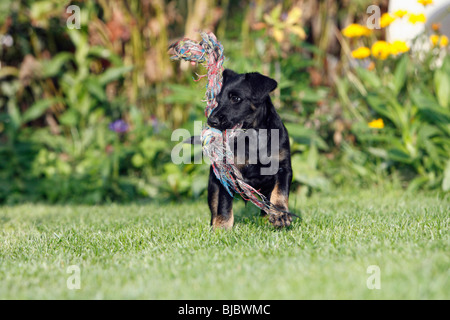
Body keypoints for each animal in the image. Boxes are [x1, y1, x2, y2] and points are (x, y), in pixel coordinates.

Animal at [207, 69, 294, 229]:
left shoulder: (283, 168)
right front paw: (222, 227)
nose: (211, 121)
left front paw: (280, 214)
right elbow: (224, 204)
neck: (254, 137)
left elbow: (280, 192)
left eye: (236, 98)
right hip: (213, 182)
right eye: (218, 100)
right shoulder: (228, 175)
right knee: (215, 206)